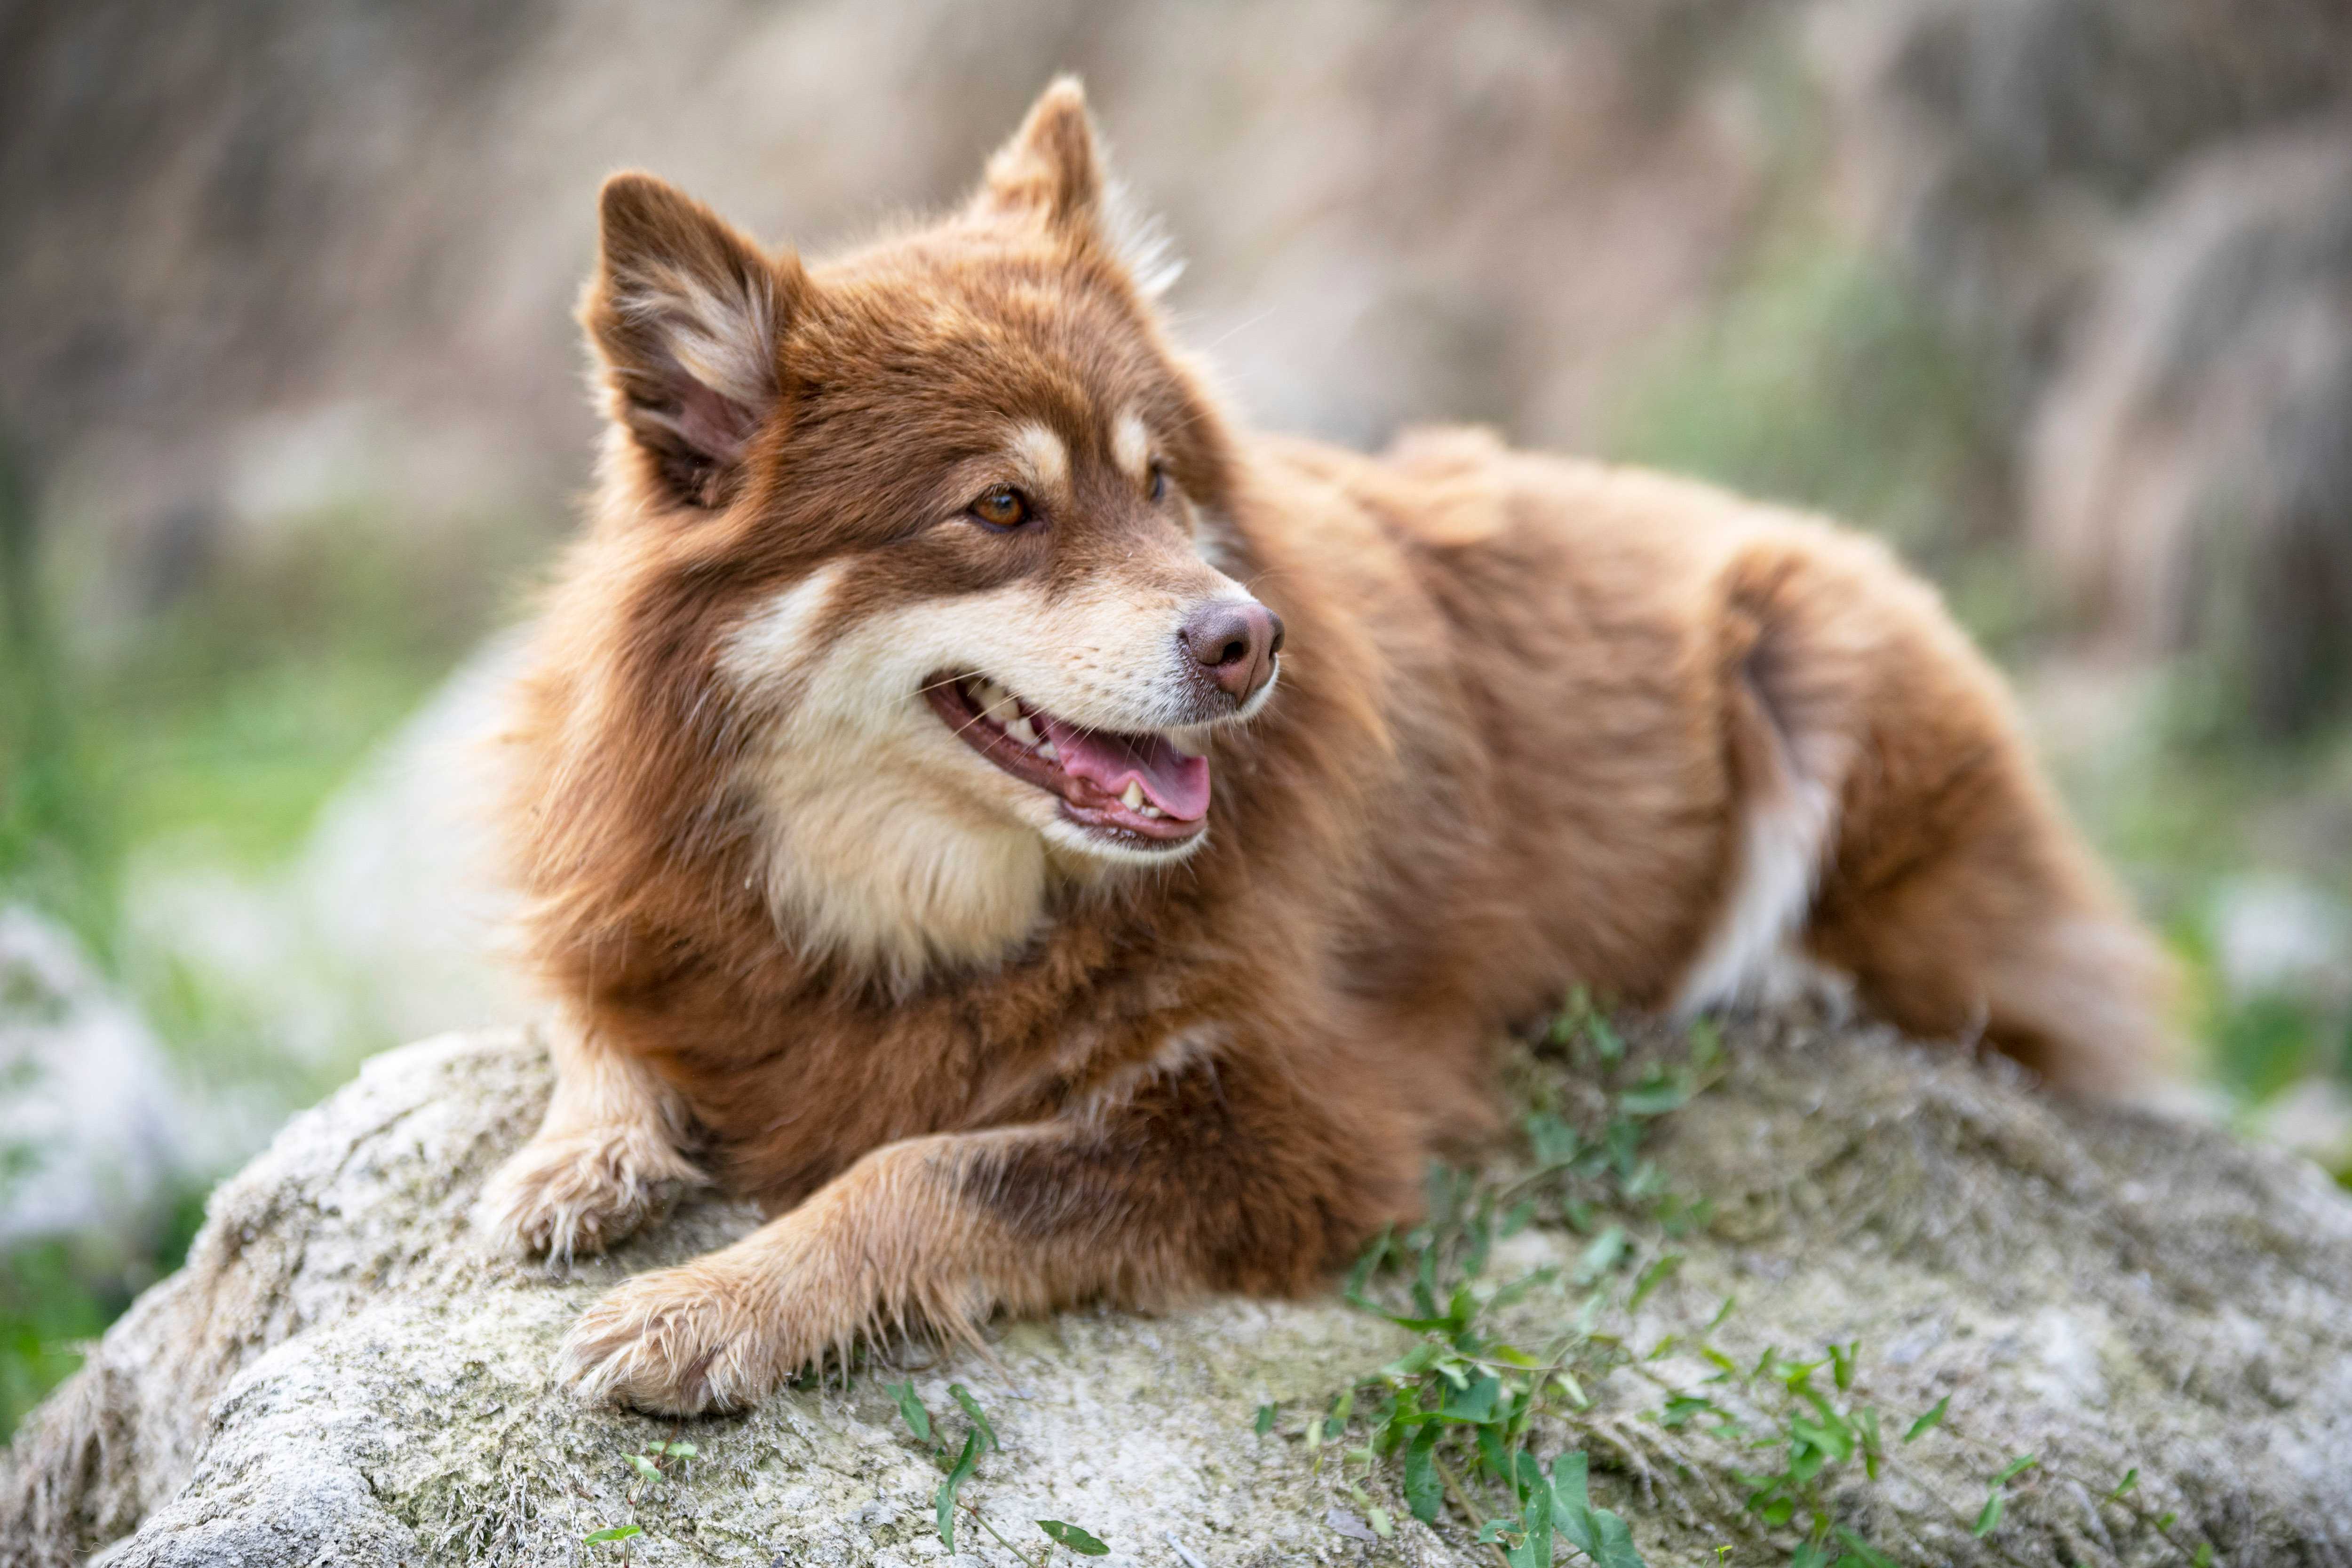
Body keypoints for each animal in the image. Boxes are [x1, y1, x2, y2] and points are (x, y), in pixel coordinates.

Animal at [473, 80, 2164, 1420]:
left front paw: (714, 1302)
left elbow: (927, 1169)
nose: (1248, 639)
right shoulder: (623, 897)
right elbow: (591, 1008)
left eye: (1160, 484)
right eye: (1001, 509)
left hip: (1816, 651)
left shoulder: (1289, 1122)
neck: (908, 906)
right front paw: (578, 1160)